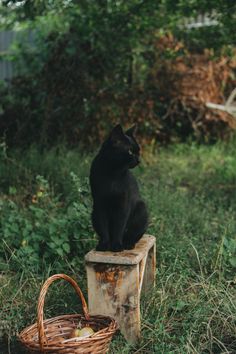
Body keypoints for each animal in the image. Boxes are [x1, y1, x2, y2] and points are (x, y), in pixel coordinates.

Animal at [90, 124, 148, 252]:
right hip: (93, 213)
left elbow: (119, 227)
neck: (113, 173)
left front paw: (117, 246)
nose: (138, 160)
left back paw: (128, 244)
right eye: (130, 151)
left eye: (138, 151)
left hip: (141, 209)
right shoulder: (100, 205)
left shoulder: (123, 205)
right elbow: (103, 228)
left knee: (132, 235)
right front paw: (104, 245)